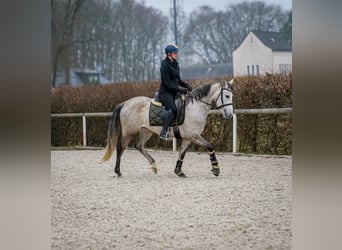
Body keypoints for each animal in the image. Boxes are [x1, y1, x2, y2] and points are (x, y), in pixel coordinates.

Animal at [101, 80, 234, 178]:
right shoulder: (193, 135)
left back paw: (154, 166)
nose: (230, 115)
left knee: (138, 146)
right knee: (120, 148)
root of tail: (125, 103)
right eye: (227, 96)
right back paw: (118, 171)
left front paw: (178, 171)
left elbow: (182, 153)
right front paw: (216, 168)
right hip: (129, 133)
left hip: (145, 131)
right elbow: (209, 146)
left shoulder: (188, 138)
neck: (196, 107)